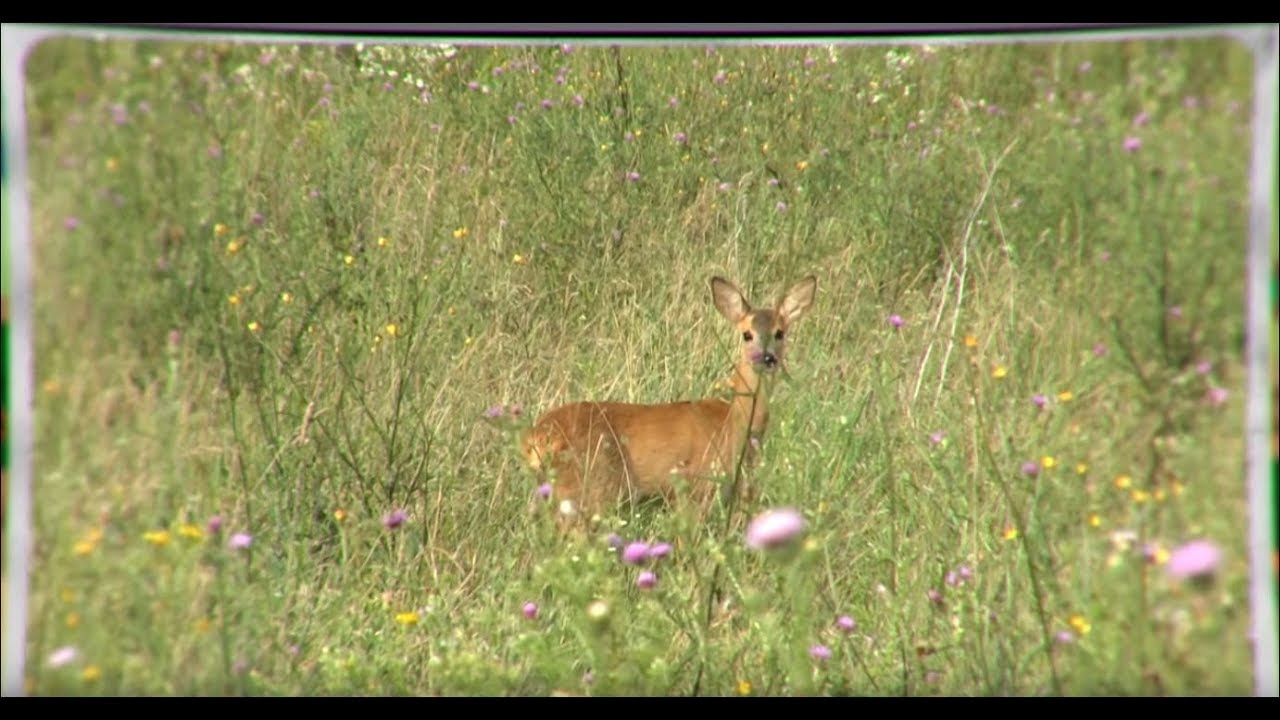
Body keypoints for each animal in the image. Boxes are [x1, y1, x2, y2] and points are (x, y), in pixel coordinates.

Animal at [522, 271, 814, 525]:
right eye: (747, 334)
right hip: (590, 487)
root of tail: (536, 437)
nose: (767, 358)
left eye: (780, 333)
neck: (734, 419)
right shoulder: (691, 486)